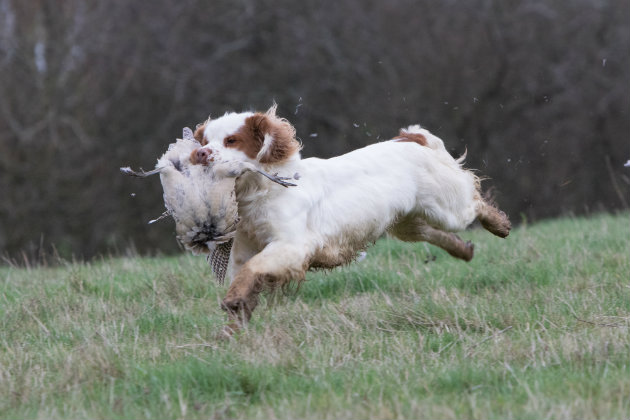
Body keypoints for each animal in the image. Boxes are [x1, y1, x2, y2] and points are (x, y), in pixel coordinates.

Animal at [190, 106, 512, 328]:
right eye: (204, 141)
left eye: (232, 140)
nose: (201, 154)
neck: (262, 189)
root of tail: (410, 139)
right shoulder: (244, 252)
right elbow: (246, 280)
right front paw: (232, 331)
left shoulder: (291, 246)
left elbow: (253, 270)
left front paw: (232, 304)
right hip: (408, 222)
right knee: (434, 233)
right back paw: (464, 250)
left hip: (446, 207)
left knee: (473, 201)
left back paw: (499, 225)